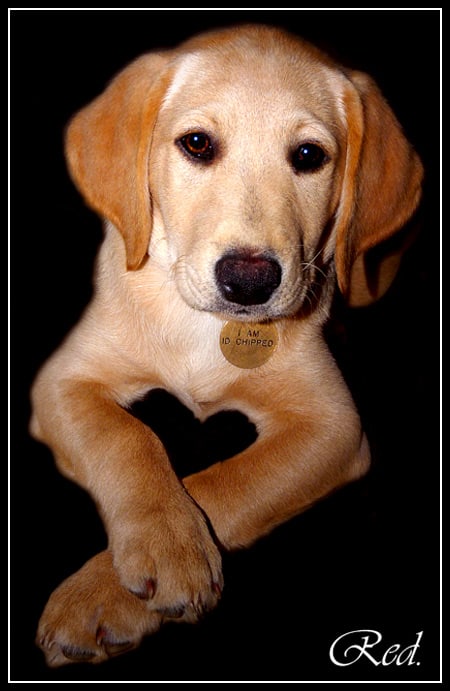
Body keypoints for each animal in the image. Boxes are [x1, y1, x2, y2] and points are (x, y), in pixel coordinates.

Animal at [30, 24, 422, 668]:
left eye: (309, 156)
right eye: (197, 144)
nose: (249, 281)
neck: (203, 330)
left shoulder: (333, 427)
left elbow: (229, 484)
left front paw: (103, 593)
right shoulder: (60, 381)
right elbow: (125, 437)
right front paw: (164, 545)